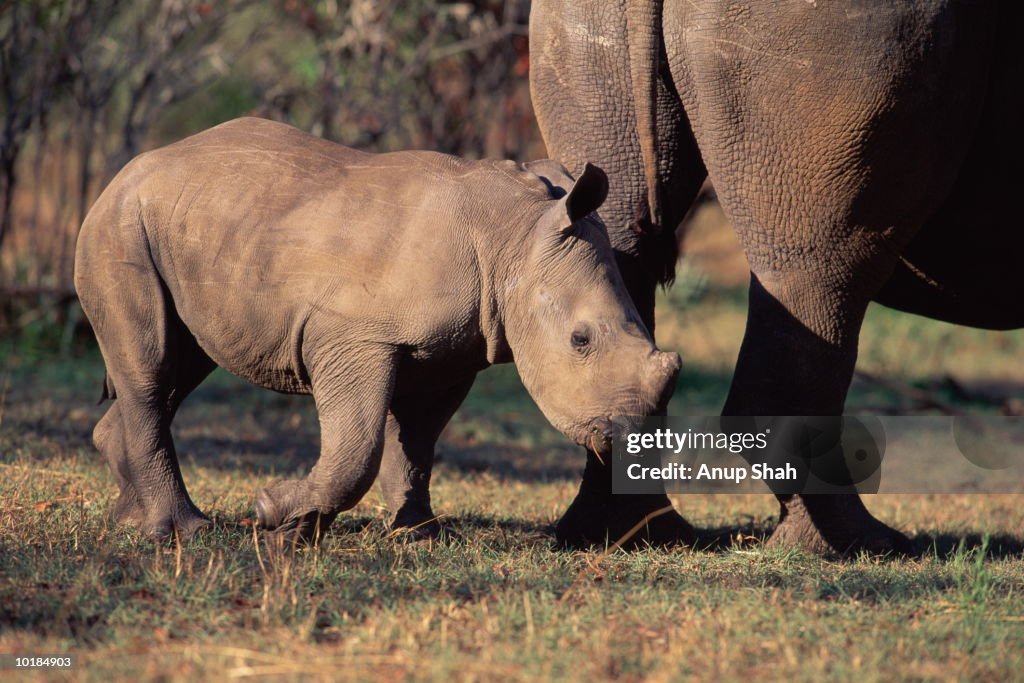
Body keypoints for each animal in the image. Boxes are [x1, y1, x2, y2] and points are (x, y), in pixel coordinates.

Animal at [72, 118, 679, 544]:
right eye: (581, 340)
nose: (630, 441)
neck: (513, 238)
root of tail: (125, 172)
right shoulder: (350, 336)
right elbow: (357, 448)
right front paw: (278, 517)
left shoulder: (453, 352)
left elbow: (417, 443)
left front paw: (419, 534)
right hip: (120, 226)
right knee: (152, 367)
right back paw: (181, 531)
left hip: (189, 226)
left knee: (181, 364)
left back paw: (130, 519)